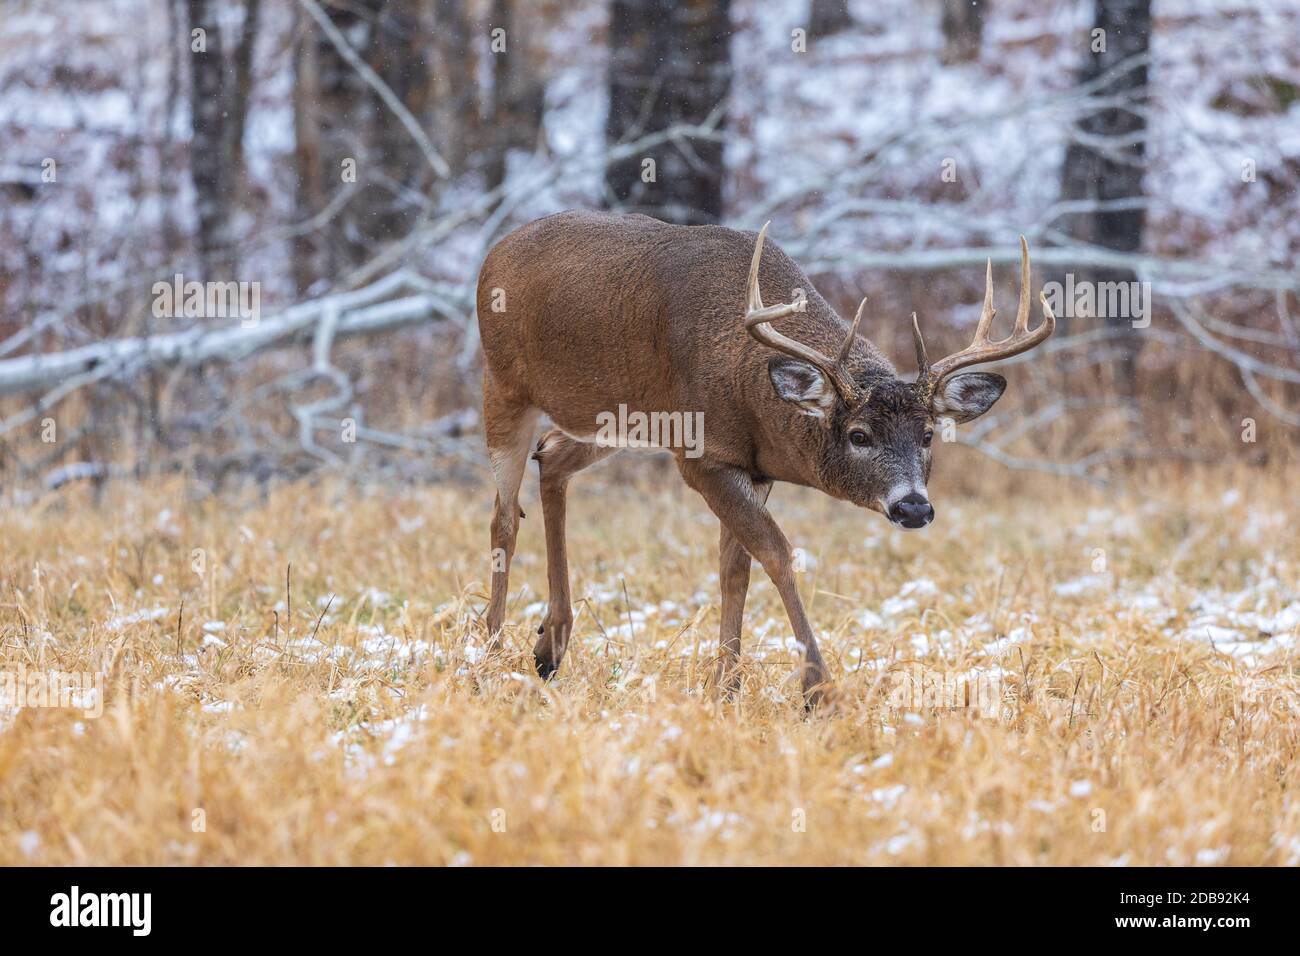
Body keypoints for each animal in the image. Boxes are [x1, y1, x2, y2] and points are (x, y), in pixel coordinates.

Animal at [478, 214, 1055, 712]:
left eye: (930, 434)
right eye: (859, 435)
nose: (913, 507)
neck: (749, 385)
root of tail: (497, 249)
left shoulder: (753, 469)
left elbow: (735, 569)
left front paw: (725, 687)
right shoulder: (701, 455)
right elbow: (776, 553)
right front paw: (818, 691)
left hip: (613, 418)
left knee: (553, 458)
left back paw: (549, 646)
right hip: (504, 385)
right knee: (503, 517)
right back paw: (490, 652)